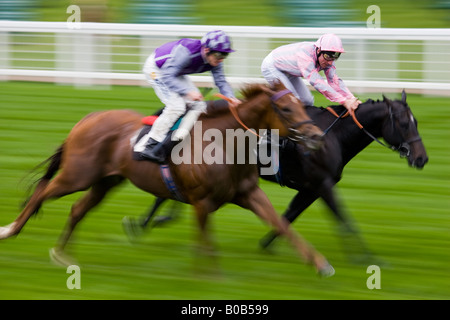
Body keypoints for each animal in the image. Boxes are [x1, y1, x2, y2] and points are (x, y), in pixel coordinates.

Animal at [0, 83, 338, 278]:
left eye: (302, 106)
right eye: (285, 108)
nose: (315, 137)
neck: (225, 143)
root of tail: (88, 118)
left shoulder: (248, 194)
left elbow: (282, 225)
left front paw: (321, 264)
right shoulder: (201, 202)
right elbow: (207, 243)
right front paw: (209, 277)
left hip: (105, 181)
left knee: (77, 209)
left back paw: (61, 253)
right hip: (78, 175)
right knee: (42, 192)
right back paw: (10, 230)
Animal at [129, 91, 428, 262]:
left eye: (416, 122)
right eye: (404, 123)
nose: (422, 158)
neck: (333, 136)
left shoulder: (311, 189)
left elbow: (288, 216)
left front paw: (268, 243)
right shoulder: (322, 184)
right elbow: (344, 219)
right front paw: (366, 257)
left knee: (170, 191)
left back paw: (154, 219)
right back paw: (145, 222)